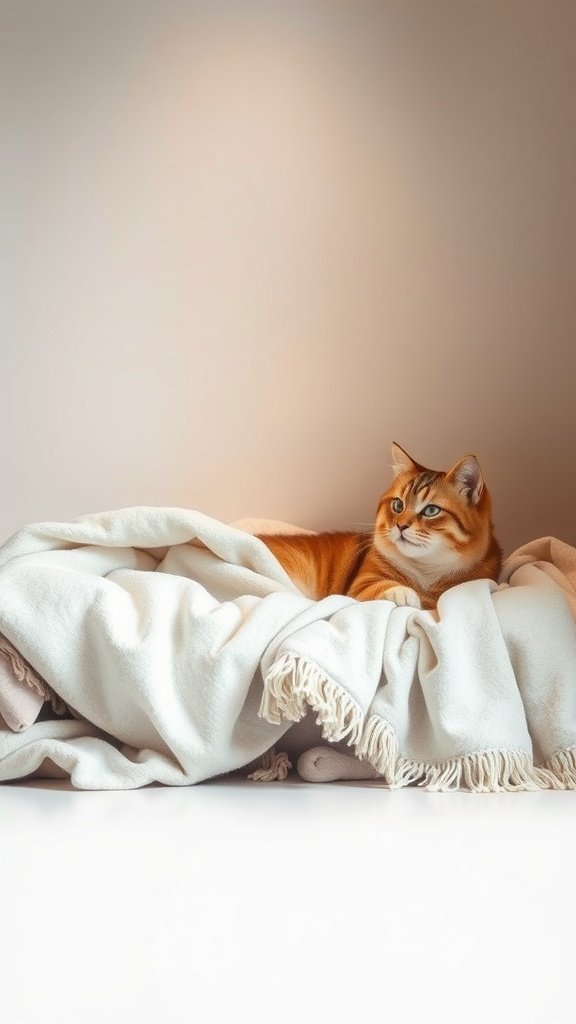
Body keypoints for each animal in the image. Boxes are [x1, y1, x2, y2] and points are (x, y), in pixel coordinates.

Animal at [258, 442, 500, 606]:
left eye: (431, 510)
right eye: (398, 505)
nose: (401, 525)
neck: (425, 572)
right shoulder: (361, 585)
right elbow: (383, 586)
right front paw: (404, 593)